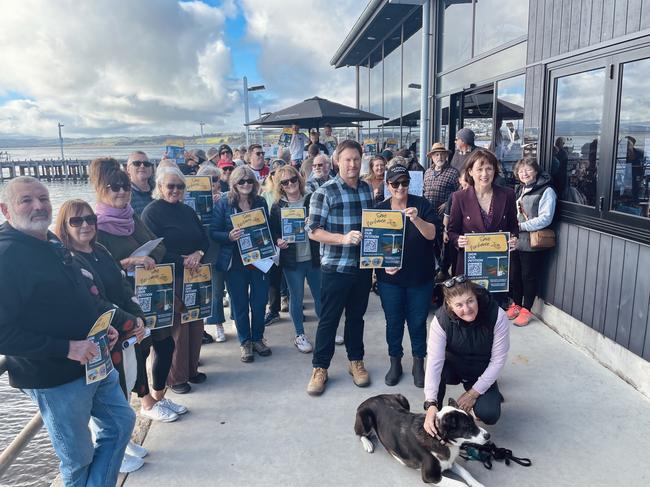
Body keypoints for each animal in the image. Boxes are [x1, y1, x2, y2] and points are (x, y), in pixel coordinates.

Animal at [356, 394, 488, 486]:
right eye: (468, 427)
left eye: (473, 422)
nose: (488, 436)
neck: (438, 438)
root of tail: (372, 398)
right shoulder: (430, 476)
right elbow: (460, 484)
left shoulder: (449, 462)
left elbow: (466, 472)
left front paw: (478, 484)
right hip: (365, 417)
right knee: (359, 433)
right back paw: (368, 444)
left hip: (403, 399)